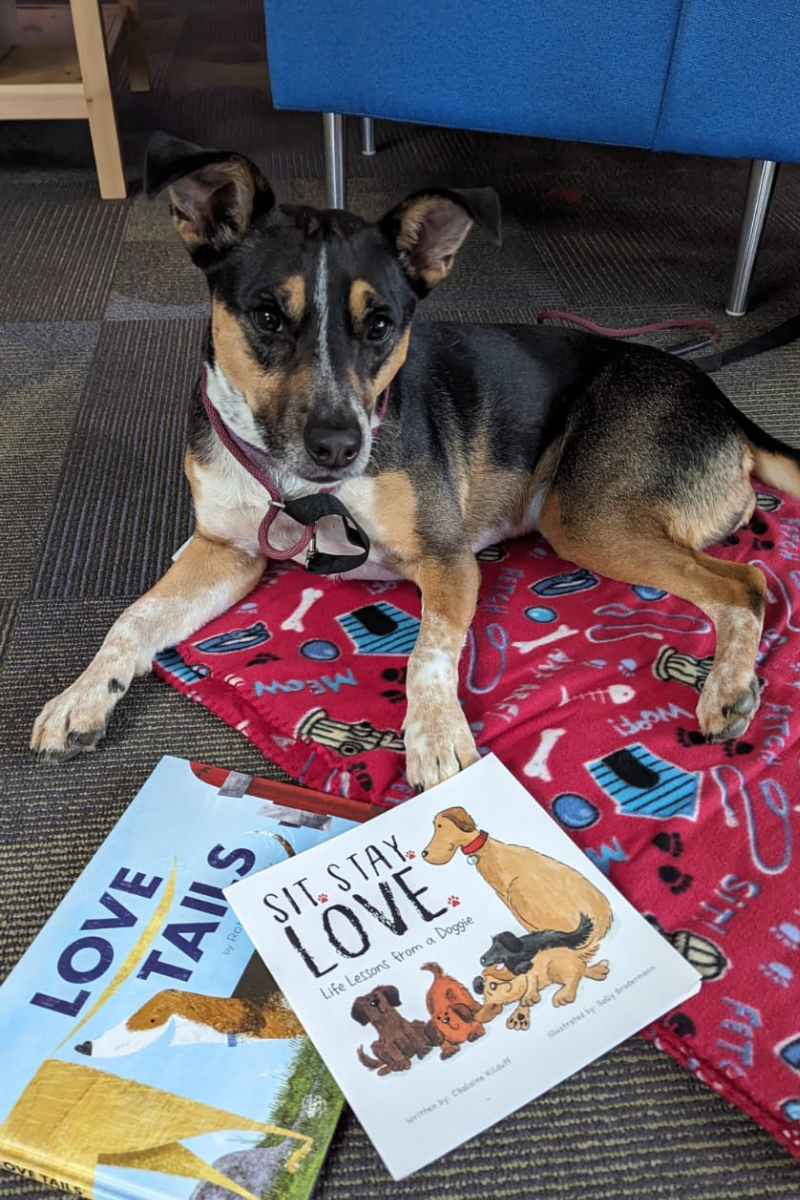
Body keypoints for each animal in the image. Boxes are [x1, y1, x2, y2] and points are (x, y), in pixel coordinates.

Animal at [34, 131, 800, 792]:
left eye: (381, 326)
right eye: (266, 317)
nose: (339, 445)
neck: (300, 486)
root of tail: (720, 397)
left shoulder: (446, 557)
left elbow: (425, 652)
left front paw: (435, 737)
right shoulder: (226, 550)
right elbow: (132, 618)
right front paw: (80, 697)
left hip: (584, 514)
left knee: (748, 584)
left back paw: (726, 686)